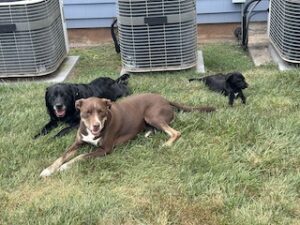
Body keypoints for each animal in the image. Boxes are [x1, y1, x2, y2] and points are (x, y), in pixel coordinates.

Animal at [39, 93, 216, 178]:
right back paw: (147, 133)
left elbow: (80, 156)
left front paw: (65, 167)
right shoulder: (78, 142)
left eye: (101, 112)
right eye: (87, 112)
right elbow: (62, 156)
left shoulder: (105, 149)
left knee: (175, 132)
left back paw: (165, 144)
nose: (96, 126)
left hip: (152, 115)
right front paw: (48, 169)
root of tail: (165, 99)